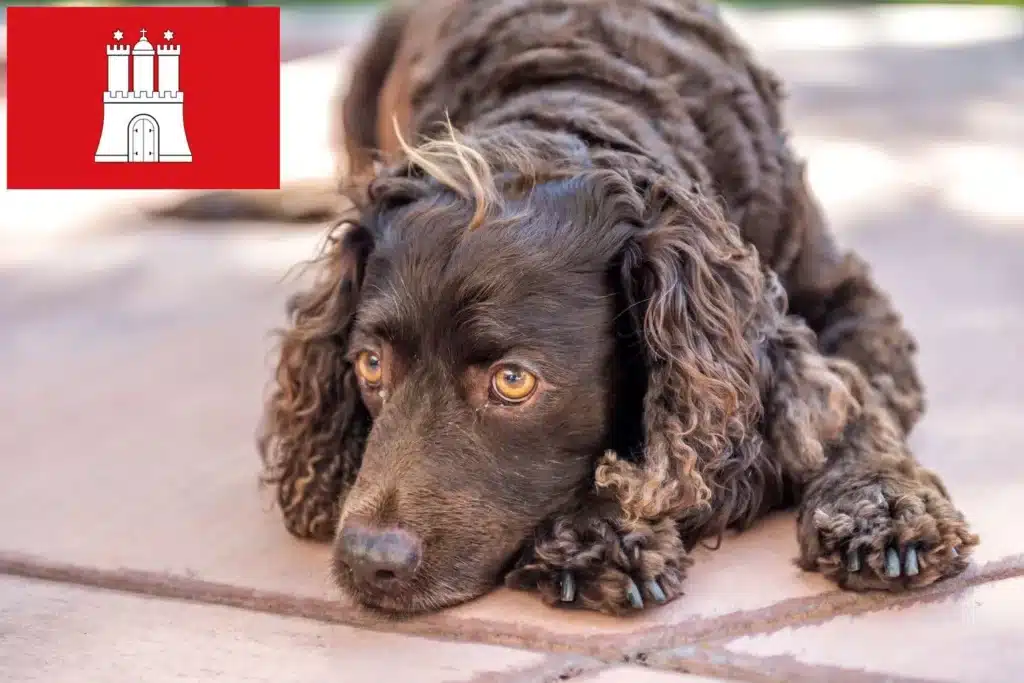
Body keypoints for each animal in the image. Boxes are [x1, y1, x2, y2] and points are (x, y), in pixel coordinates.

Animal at [256, 0, 974, 618]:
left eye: (513, 381)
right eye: (371, 365)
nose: (367, 560)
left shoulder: (848, 302)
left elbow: (855, 407)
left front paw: (883, 507)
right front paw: (600, 531)